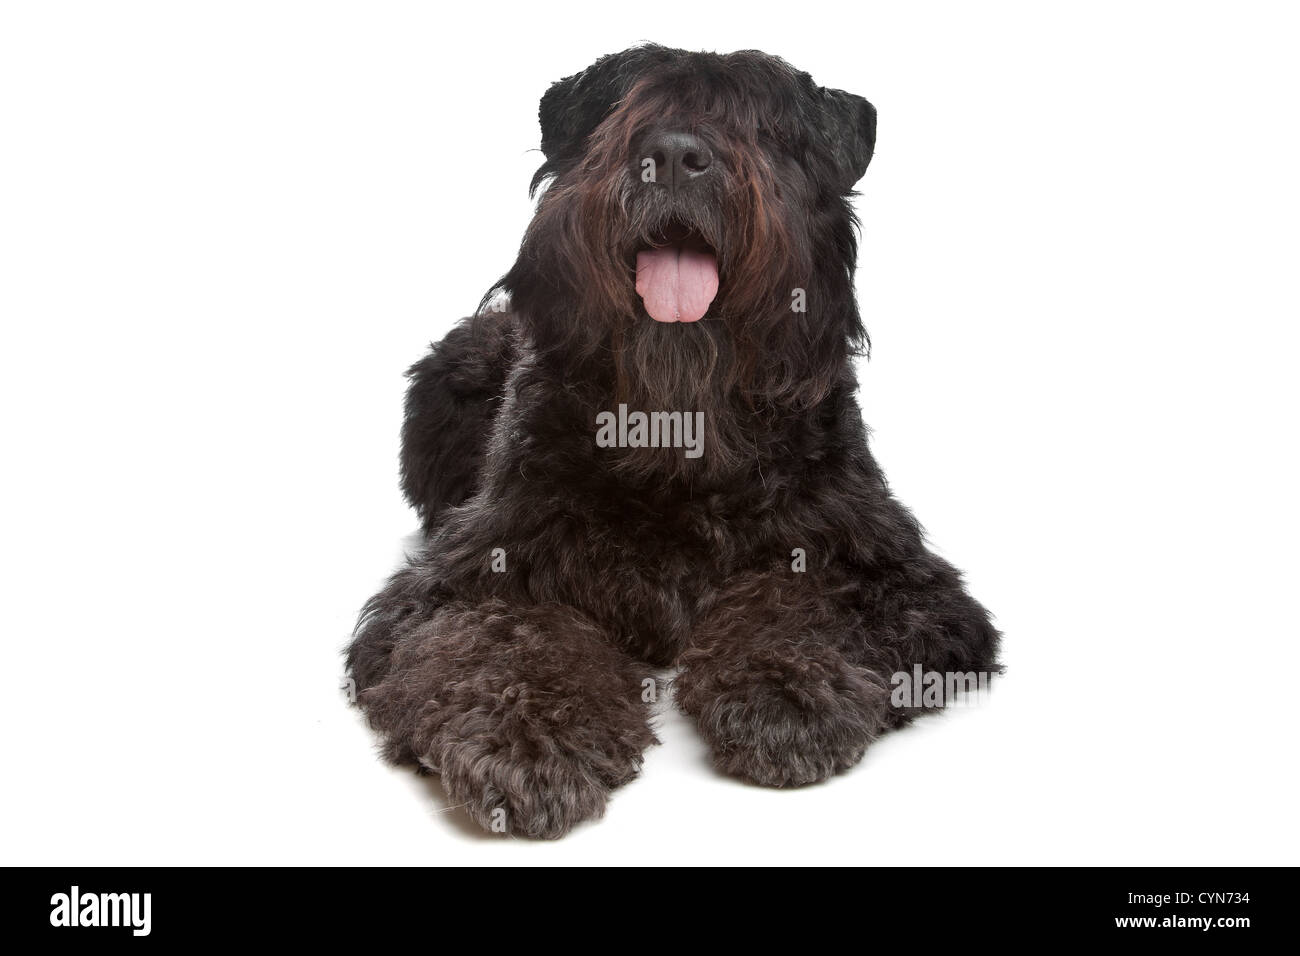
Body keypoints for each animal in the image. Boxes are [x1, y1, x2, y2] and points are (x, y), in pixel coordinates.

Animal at [343, 44, 993, 837]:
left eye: (763, 123)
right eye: (626, 109)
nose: (677, 157)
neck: (680, 435)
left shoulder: (895, 576)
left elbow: (802, 601)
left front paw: (784, 692)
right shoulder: (469, 573)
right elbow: (503, 634)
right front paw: (529, 738)